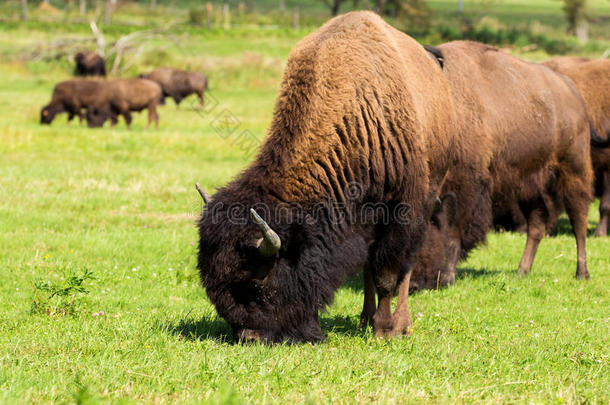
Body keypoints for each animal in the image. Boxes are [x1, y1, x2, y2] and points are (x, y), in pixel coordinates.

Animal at [197, 11, 458, 340]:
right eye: (211, 283)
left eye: (258, 281)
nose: (248, 335)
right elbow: (368, 267)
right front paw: (369, 322)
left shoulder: (400, 212)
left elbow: (388, 274)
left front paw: (385, 330)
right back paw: (364, 318)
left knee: (403, 269)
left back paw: (399, 324)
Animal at [402, 42, 592, 292]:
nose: (413, 284)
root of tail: (571, 89)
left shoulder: (466, 186)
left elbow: (454, 232)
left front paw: (449, 277)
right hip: (529, 183)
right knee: (537, 223)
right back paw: (522, 271)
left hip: (572, 169)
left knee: (578, 219)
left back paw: (582, 273)